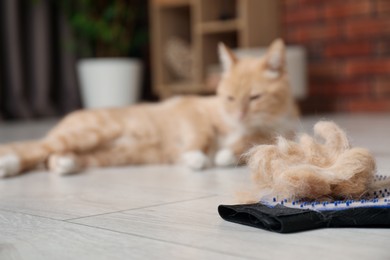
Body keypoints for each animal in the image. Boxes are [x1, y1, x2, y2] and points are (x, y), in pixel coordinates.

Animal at [0, 38, 298, 177]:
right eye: (229, 98)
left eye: (254, 97)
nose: (239, 115)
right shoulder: (192, 112)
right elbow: (200, 136)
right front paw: (197, 156)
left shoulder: (269, 134)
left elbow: (245, 145)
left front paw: (225, 154)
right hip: (90, 132)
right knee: (37, 149)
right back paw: (8, 165)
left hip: (104, 155)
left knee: (50, 158)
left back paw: (65, 163)